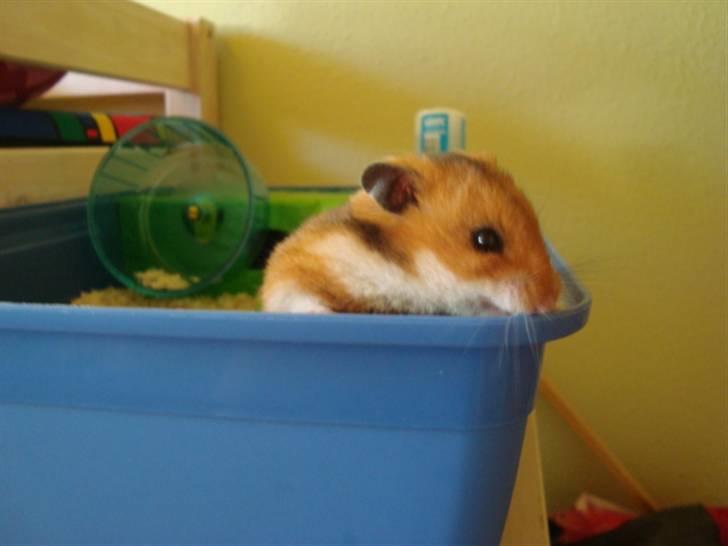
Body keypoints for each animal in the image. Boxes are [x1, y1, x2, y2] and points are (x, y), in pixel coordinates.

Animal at [261, 152, 560, 315]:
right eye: (485, 240)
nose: (550, 302)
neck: (403, 271)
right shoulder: (293, 269)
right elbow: (300, 296)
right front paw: (328, 313)